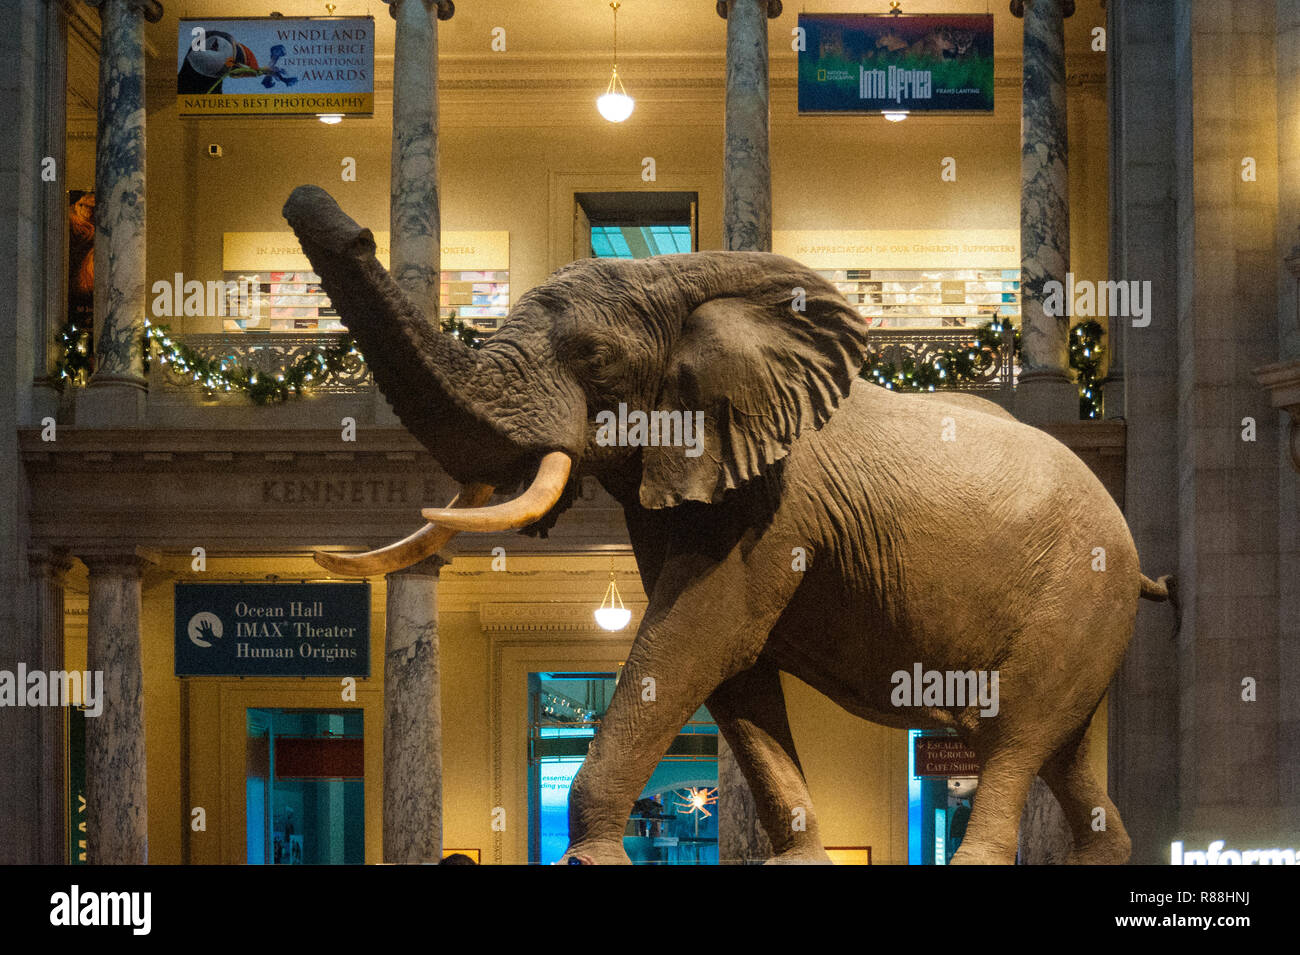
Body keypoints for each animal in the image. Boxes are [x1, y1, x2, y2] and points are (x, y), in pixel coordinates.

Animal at [279, 184, 1175, 867]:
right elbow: (734, 674)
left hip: (1077, 592)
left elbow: (700, 634)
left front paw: (591, 860)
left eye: (595, 359)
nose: (324, 209)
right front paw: (800, 858)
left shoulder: (777, 498)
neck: (682, 281)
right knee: (1065, 752)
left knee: (1016, 735)